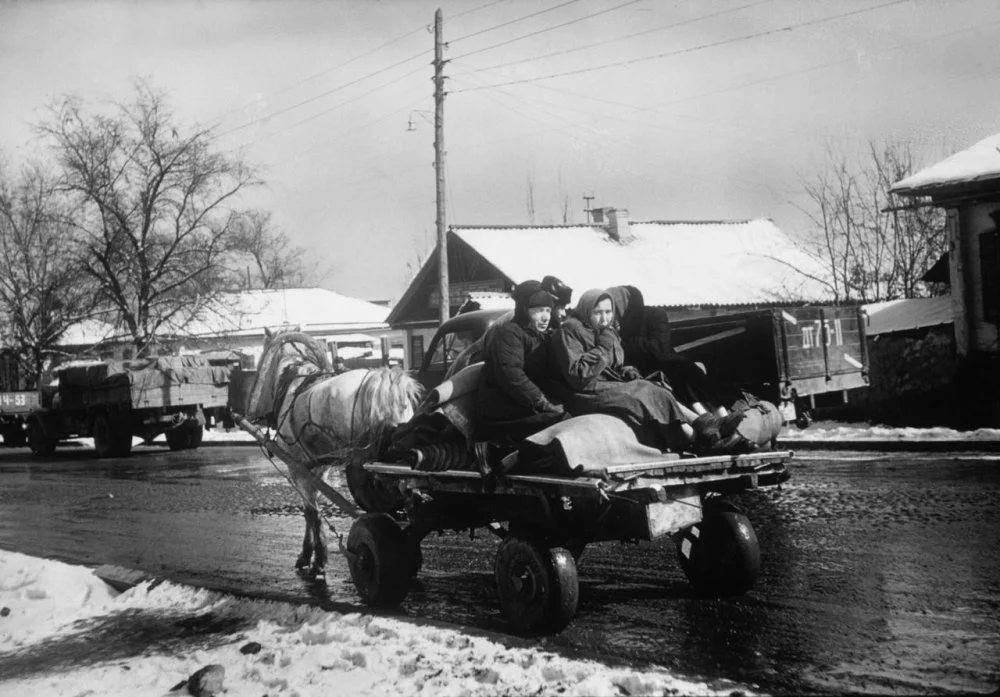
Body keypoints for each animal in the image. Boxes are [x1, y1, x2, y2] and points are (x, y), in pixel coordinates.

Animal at [250, 328, 426, 580]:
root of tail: (382, 383)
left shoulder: (297, 468)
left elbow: (311, 512)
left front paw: (315, 559)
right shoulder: (318, 468)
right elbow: (312, 510)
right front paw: (312, 555)